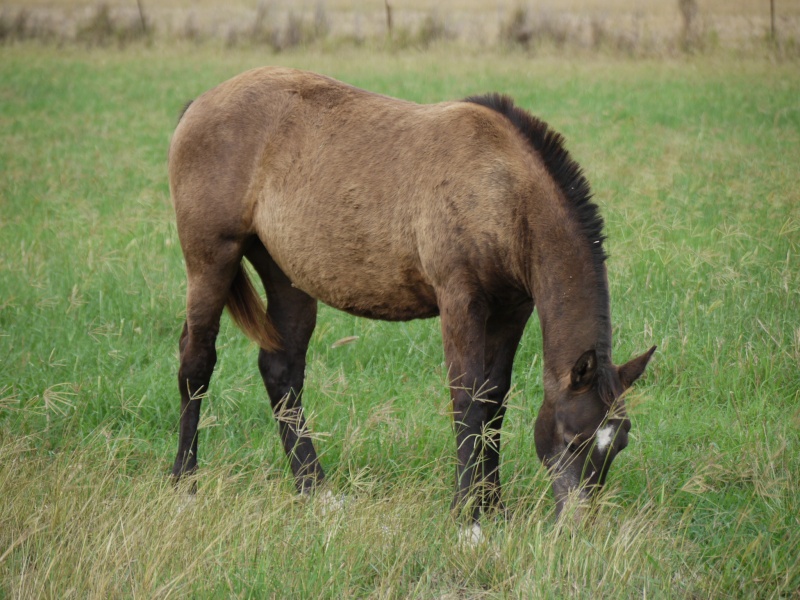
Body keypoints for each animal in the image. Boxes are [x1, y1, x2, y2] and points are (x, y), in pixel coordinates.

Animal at [169, 67, 656, 524]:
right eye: (573, 440)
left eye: (618, 444)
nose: (575, 525)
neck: (502, 190)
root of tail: (200, 103)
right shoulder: (460, 300)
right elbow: (467, 398)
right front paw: (468, 518)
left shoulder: (513, 309)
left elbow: (494, 399)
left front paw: (494, 507)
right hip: (211, 258)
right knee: (197, 361)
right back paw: (184, 485)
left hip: (286, 275)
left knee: (281, 370)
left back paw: (314, 489)